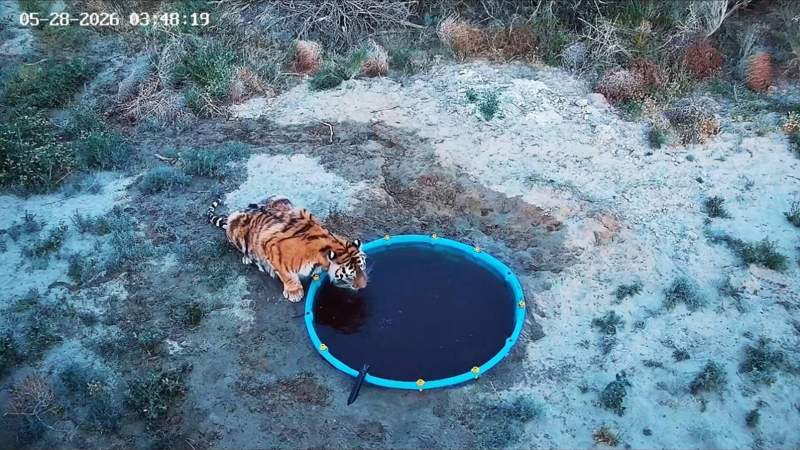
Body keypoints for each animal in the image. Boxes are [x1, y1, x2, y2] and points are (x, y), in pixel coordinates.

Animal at [206, 195, 368, 302]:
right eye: (350, 275)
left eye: (363, 268)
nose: (364, 286)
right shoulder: (271, 246)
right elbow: (286, 275)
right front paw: (294, 292)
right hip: (236, 224)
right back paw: (247, 258)